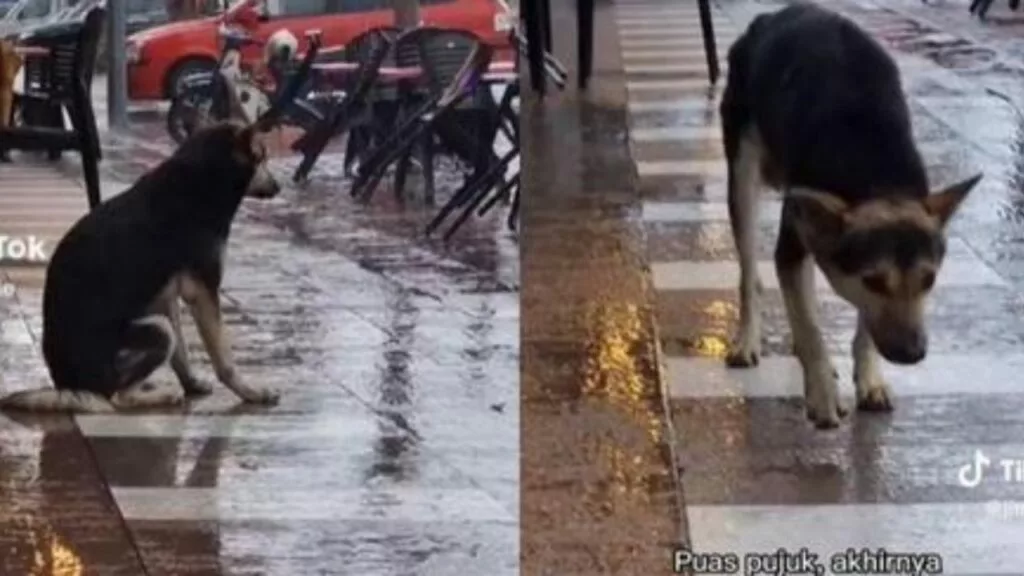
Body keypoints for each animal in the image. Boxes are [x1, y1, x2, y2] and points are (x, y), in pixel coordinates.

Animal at [1, 119, 280, 407]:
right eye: (263, 157)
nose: (278, 186)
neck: (204, 175)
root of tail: (70, 385)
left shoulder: (165, 296)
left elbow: (181, 353)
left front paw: (192, 383)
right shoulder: (203, 291)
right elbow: (224, 359)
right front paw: (250, 391)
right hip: (155, 332)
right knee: (119, 396)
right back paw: (160, 395)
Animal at [720, 3, 983, 426]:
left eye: (929, 280)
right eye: (873, 280)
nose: (912, 355)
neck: (875, 178)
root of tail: (773, 15)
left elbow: (857, 323)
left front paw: (869, 378)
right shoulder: (794, 241)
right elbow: (812, 329)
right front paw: (822, 396)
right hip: (742, 170)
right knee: (750, 273)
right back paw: (748, 340)